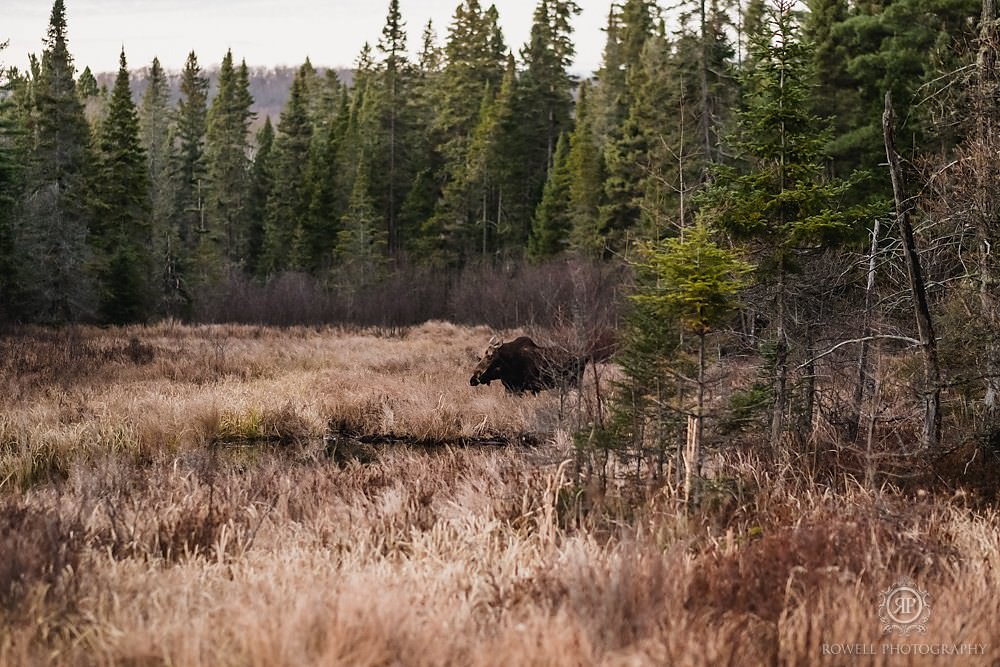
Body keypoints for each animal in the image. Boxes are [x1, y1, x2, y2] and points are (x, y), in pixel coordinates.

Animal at [468, 336, 608, 394]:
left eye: (490, 356)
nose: (473, 379)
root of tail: (586, 357)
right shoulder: (511, 388)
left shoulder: (530, 387)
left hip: (573, 382)